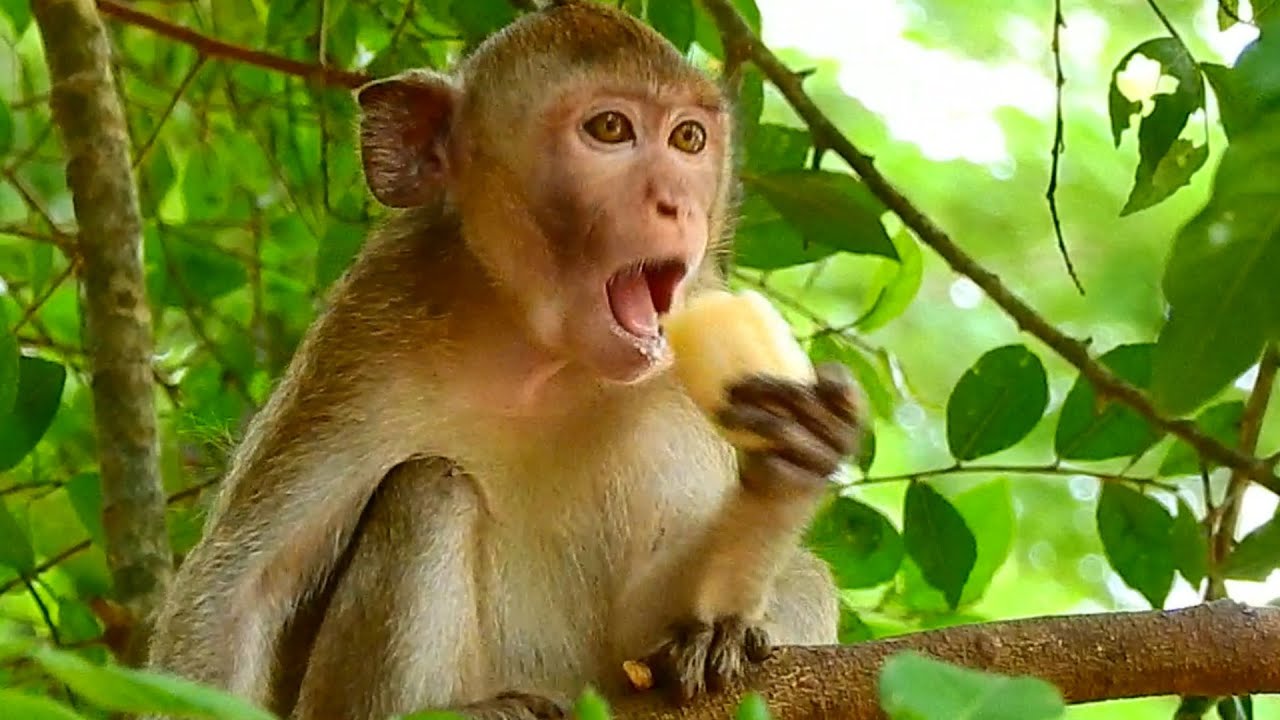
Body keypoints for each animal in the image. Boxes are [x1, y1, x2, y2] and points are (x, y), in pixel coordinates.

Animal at [143, 2, 863, 719]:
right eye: (610, 129)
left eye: (688, 139)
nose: (678, 204)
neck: (536, 359)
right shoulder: (366, 331)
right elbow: (242, 591)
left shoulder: (673, 390)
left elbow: (642, 636)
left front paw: (783, 475)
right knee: (430, 489)